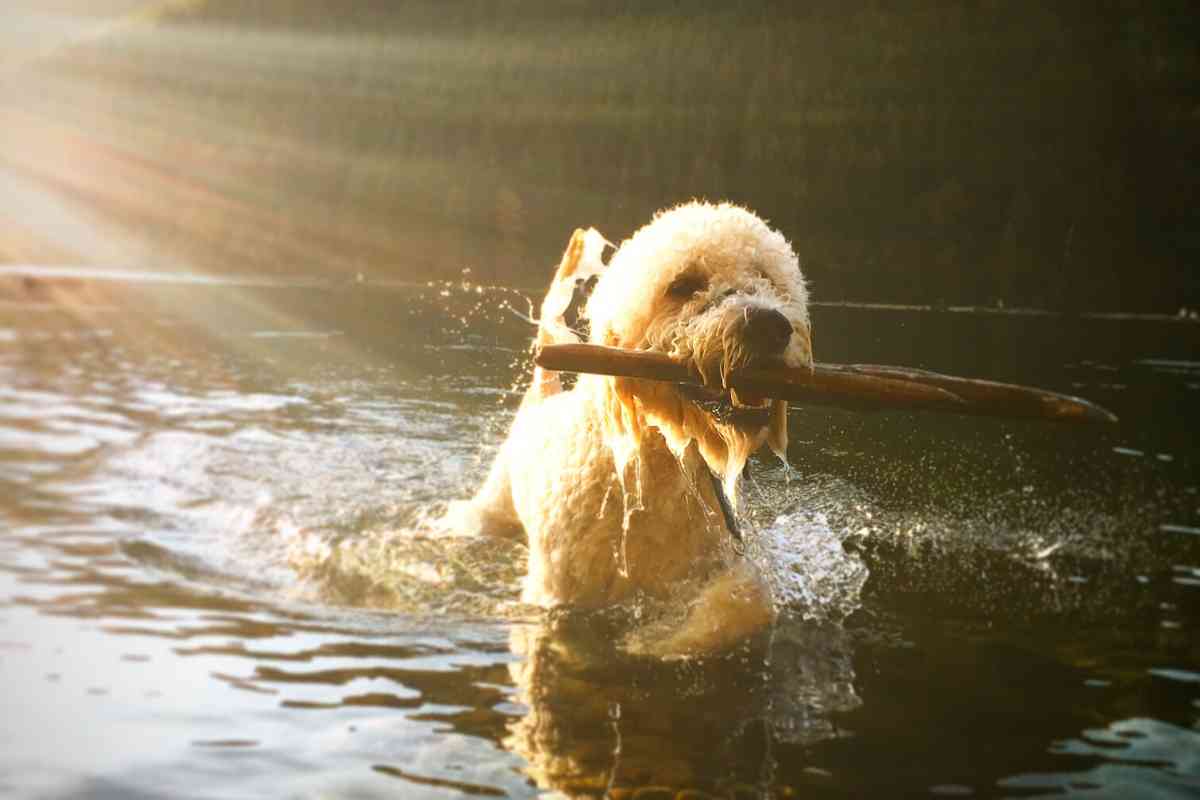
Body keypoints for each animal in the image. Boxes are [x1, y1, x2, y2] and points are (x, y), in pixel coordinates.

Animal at [451, 201, 816, 657]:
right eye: (683, 285)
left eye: (767, 277)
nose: (769, 325)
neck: (653, 471)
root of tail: (542, 401)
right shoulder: (560, 593)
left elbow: (747, 599)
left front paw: (659, 639)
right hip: (493, 504)